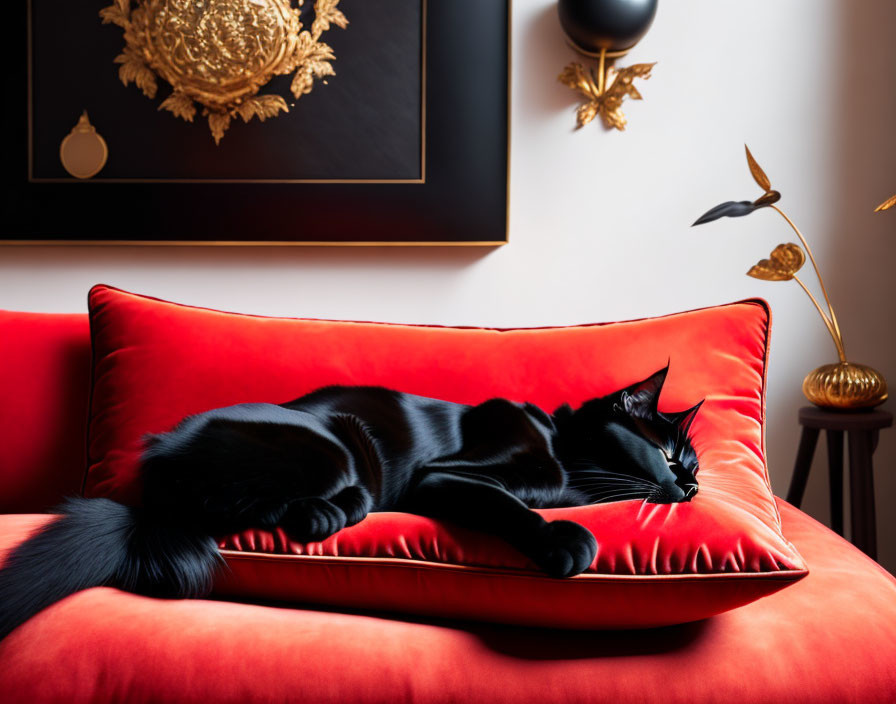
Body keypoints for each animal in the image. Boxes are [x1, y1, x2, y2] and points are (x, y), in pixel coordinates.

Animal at [0, 366, 700, 640]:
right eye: (668, 456)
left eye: (693, 465)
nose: (693, 486)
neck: (561, 445)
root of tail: (155, 464)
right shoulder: (441, 476)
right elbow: (511, 505)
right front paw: (565, 542)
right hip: (335, 442)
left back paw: (331, 512)